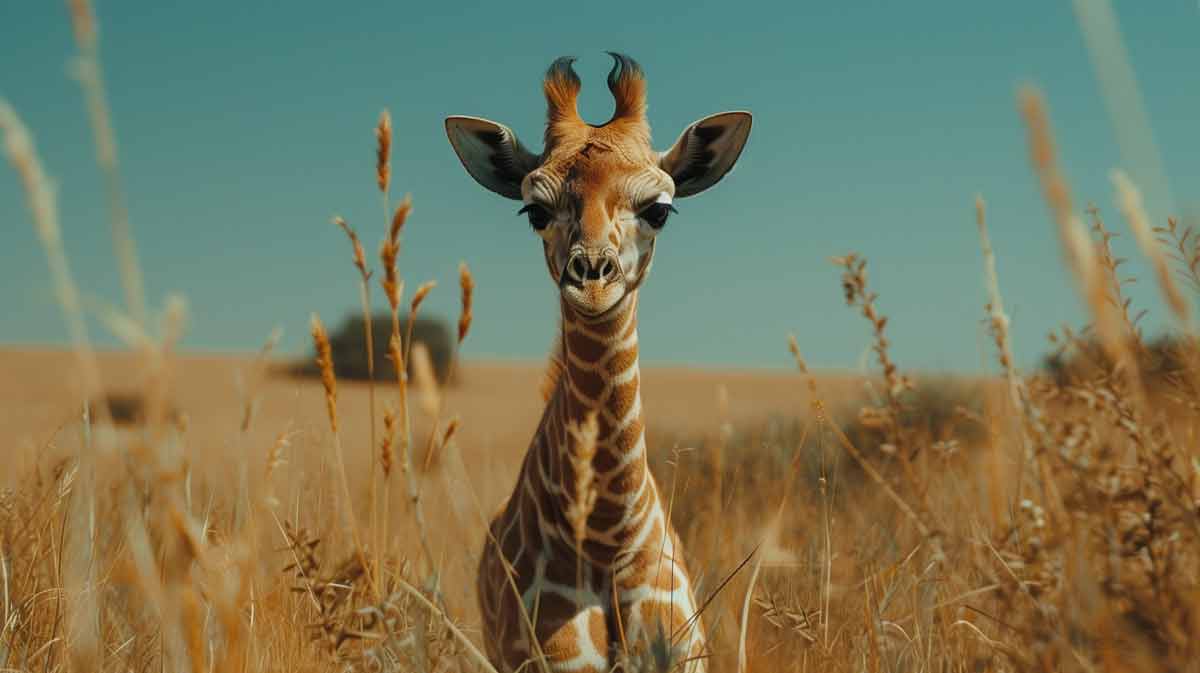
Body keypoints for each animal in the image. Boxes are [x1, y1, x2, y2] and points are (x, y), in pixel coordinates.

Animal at [446, 53, 753, 671]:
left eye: (659, 210)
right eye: (534, 210)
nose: (591, 281)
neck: (609, 537)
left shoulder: (680, 654)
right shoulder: (553, 659)